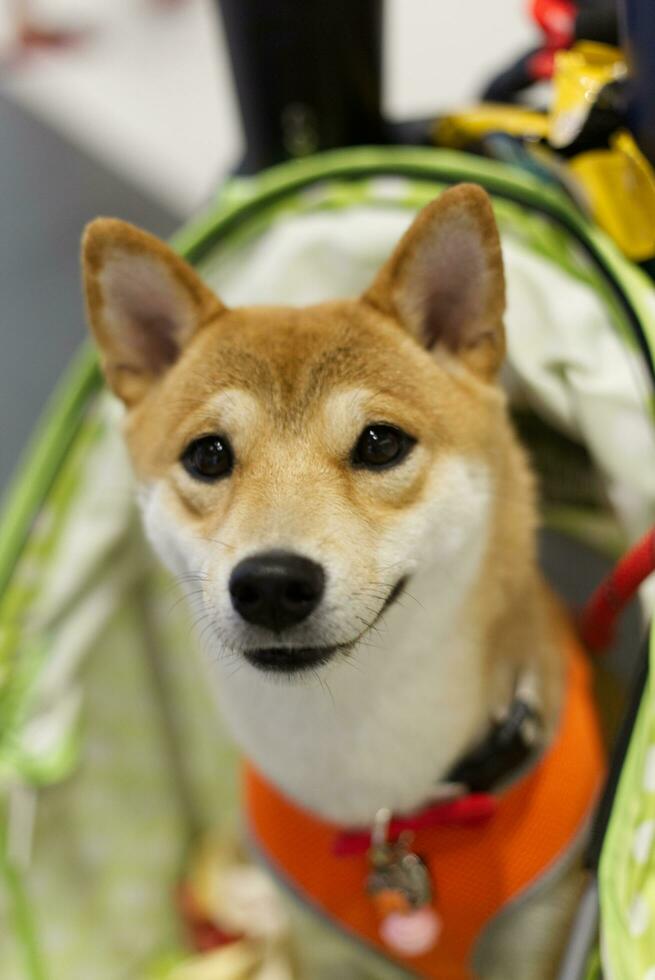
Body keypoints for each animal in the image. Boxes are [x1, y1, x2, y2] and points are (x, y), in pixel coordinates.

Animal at [82, 186, 604, 980]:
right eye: (208, 455)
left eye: (380, 443)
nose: (270, 583)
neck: (381, 801)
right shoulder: (319, 944)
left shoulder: (538, 928)